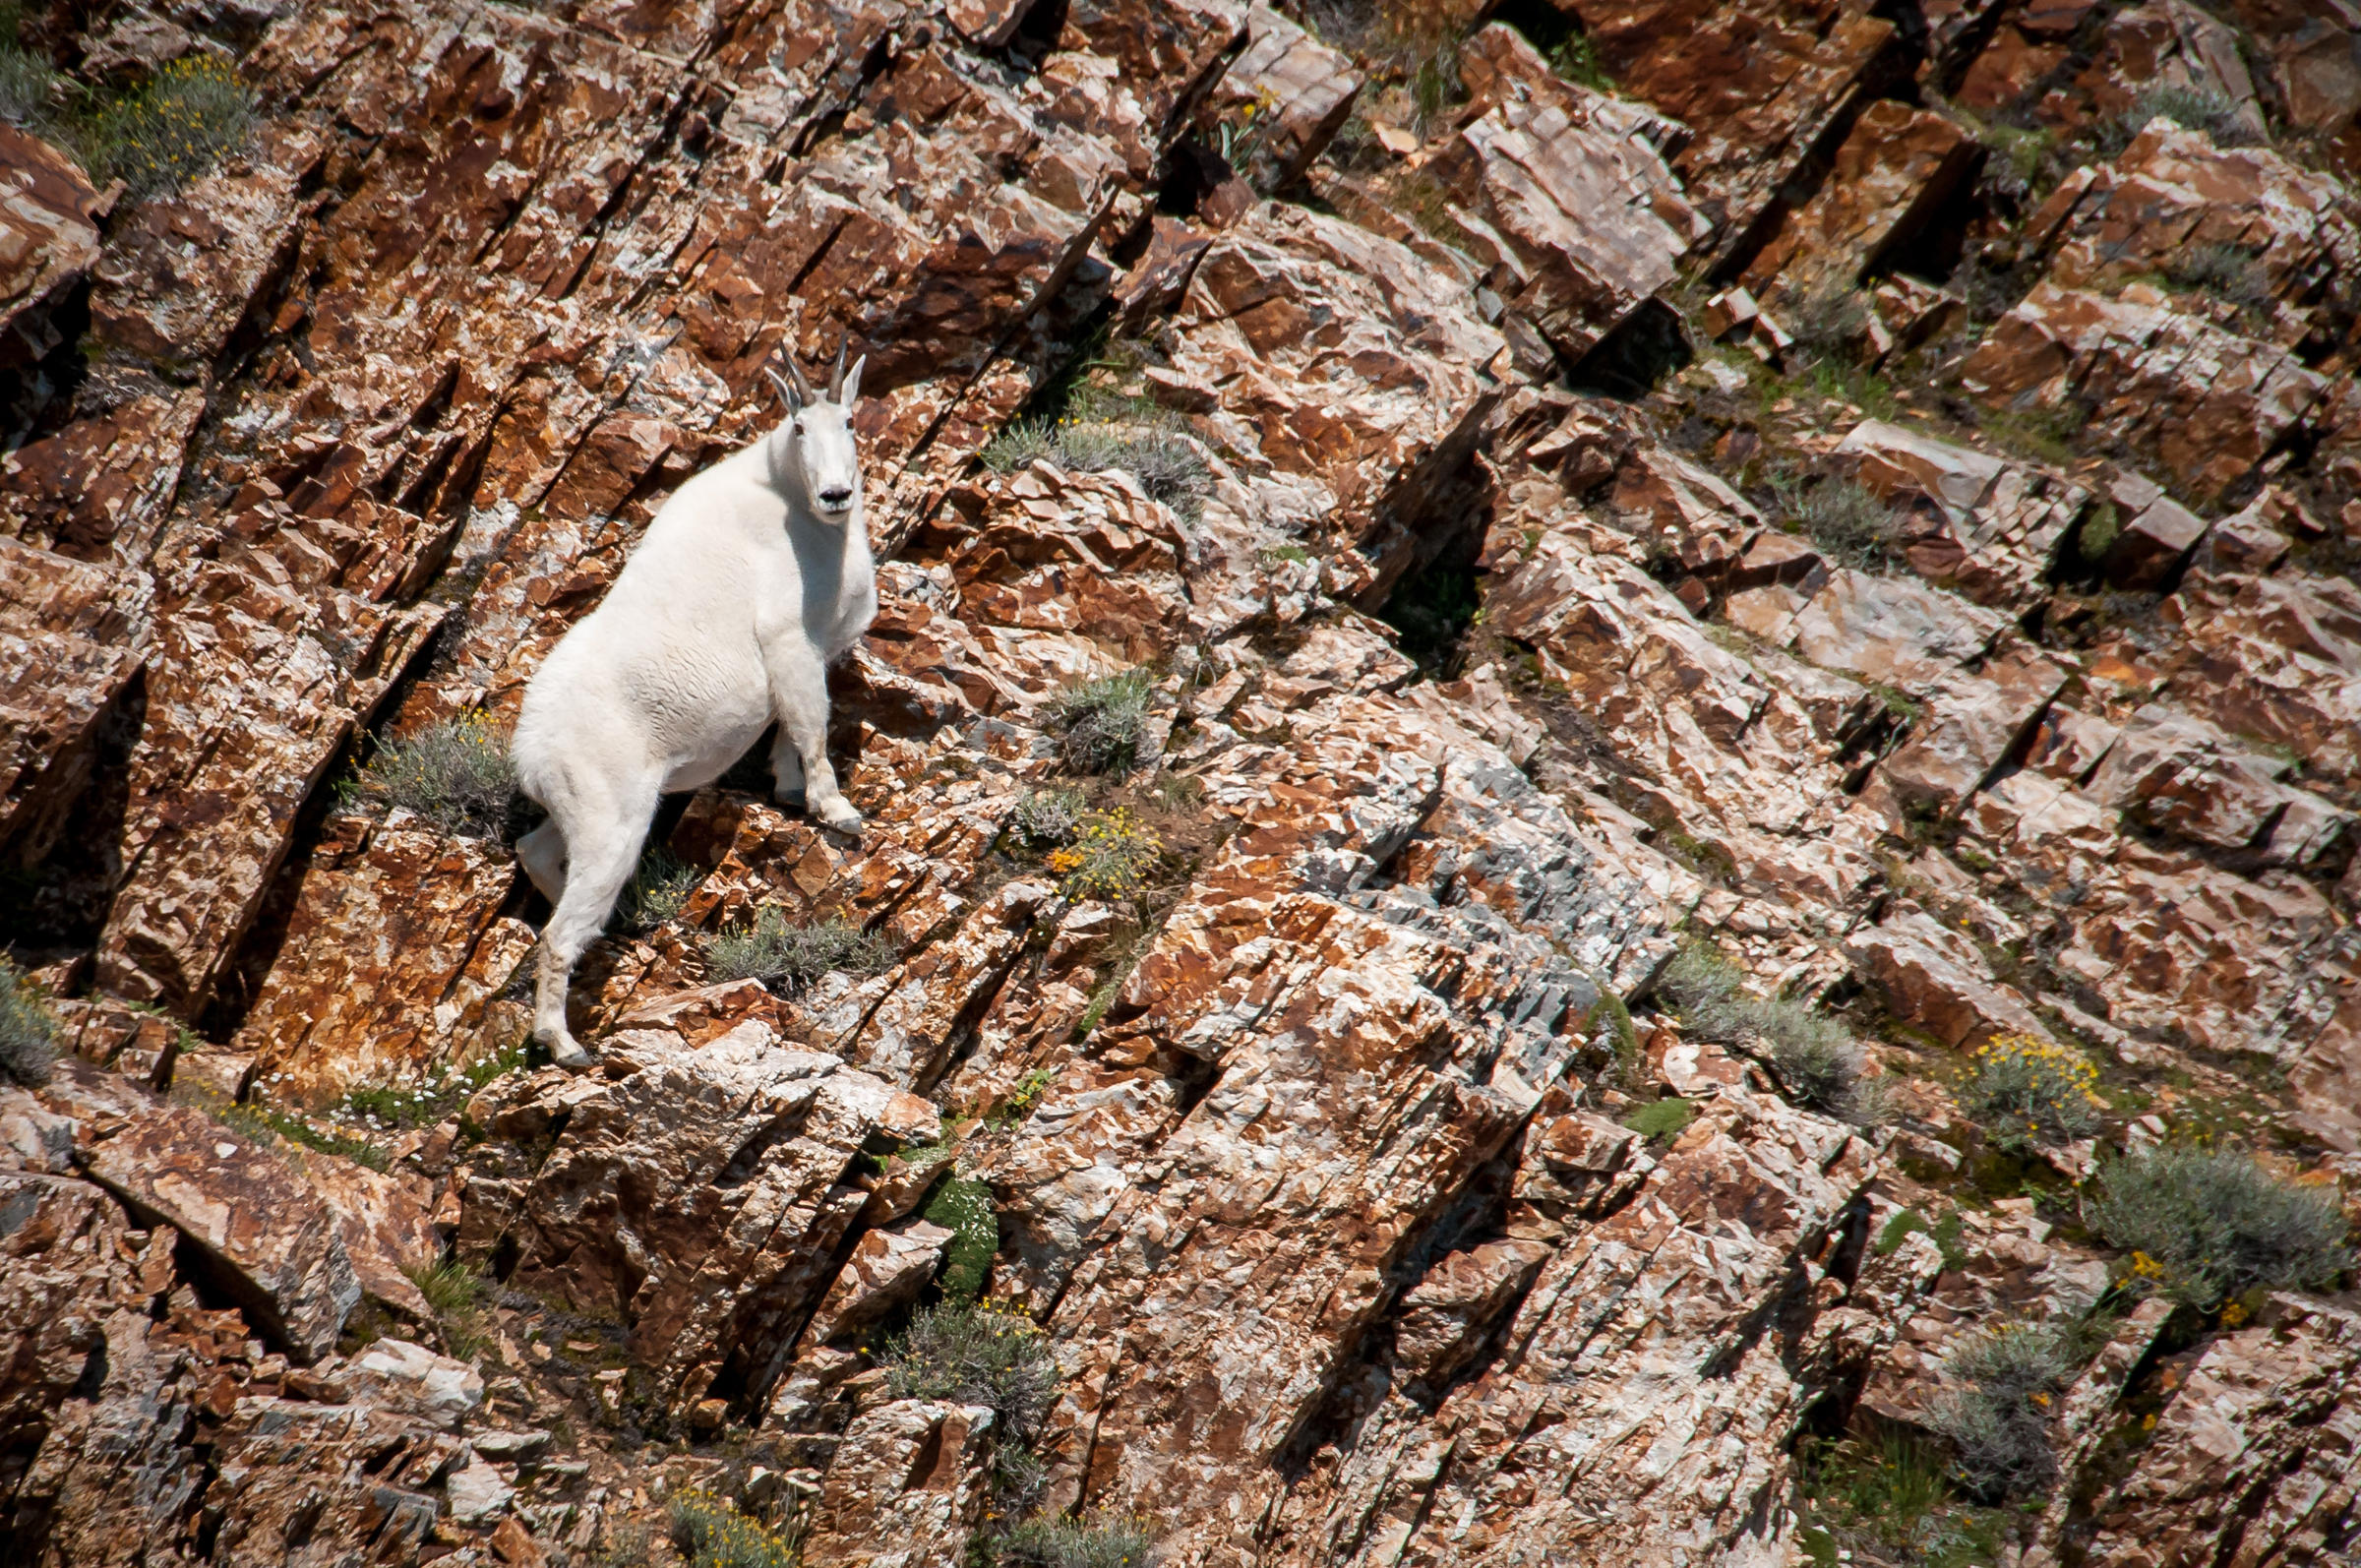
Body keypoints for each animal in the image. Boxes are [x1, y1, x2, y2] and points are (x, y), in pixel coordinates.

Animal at [509, 345, 876, 1067]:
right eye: (799, 427)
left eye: (849, 420)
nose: (836, 494)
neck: (790, 504)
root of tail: (529, 753)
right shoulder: (788, 636)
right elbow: (811, 724)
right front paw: (837, 811)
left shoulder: (810, 651)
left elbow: (790, 729)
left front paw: (789, 791)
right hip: (612, 821)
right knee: (558, 933)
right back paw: (565, 1045)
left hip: (579, 812)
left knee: (535, 851)